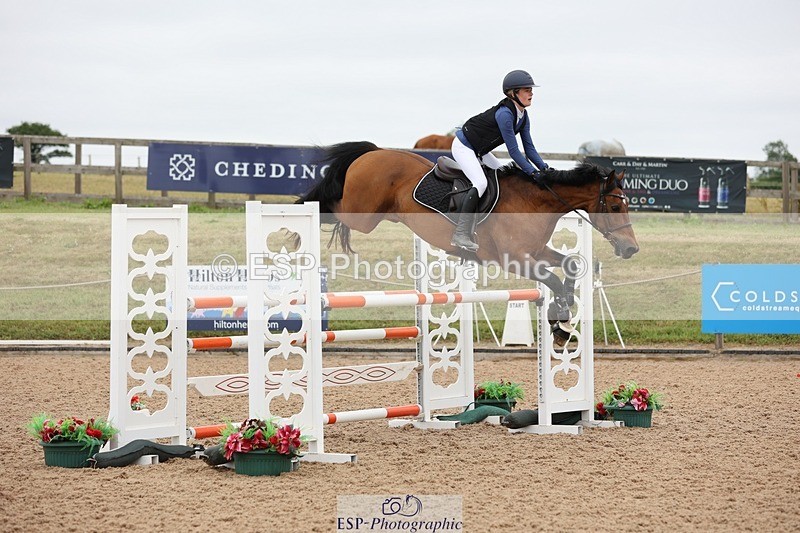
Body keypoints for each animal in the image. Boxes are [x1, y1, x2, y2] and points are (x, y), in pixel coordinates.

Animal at [297, 141, 639, 343]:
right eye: (615, 207)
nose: (631, 249)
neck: (536, 201)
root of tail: (373, 151)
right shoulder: (514, 258)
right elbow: (553, 280)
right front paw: (561, 318)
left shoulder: (537, 251)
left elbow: (570, 265)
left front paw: (562, 321)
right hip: (362, 215)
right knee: (329, 204)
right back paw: (298, 215)